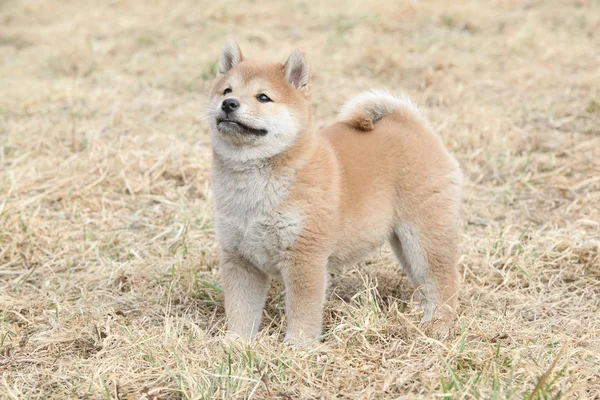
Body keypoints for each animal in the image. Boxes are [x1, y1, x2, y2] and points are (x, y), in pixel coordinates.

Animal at [207, 39, 464, 342]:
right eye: (227, 90)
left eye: (263, 97)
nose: (228, 104)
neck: (253, 186)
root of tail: (411, 124)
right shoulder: (239, 259)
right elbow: (240, 311)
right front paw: (235, 343)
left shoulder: (305, 256)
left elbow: (303, 309)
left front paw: (297, 345)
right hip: (404, 243)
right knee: (424, 282)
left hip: (424, 235)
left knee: (443, 279)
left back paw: (437, 326)